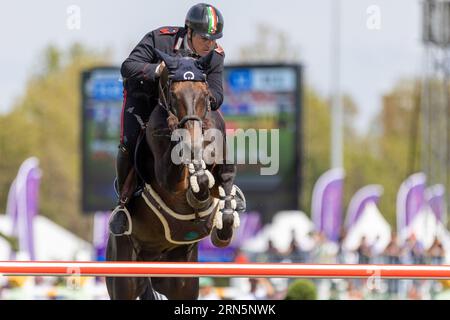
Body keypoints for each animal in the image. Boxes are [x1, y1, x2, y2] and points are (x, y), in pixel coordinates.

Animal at [106, 48, 244, 298]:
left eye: (205, 93)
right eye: (173, 94)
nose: (195, 141)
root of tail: (151, 261)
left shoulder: (223, 166)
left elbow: (225, 184)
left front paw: (223, 228)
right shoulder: (166, 178)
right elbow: (192, 178)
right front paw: (196, 192)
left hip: (182, 281)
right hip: (124, 276)